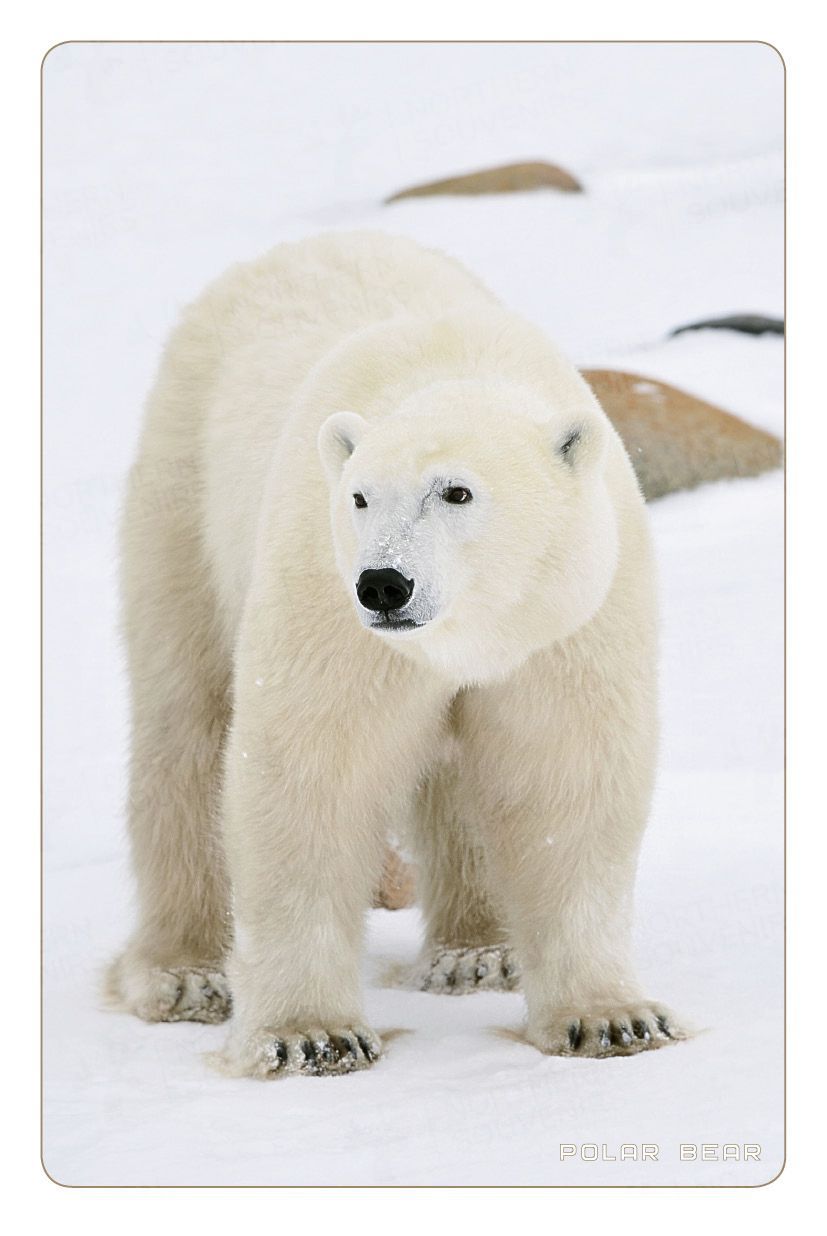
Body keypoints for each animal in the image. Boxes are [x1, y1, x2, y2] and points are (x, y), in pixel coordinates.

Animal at [107, 231, 685, 1077]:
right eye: (358, 496)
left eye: (456, 492)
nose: (384, 583)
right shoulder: (325, 602)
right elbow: (311, 770)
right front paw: (309, 1034)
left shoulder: (566, 622)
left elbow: (564, 780)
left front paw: (611, 1019)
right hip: (183, 493)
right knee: (184, 724)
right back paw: (184, 975)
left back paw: (476, 952)